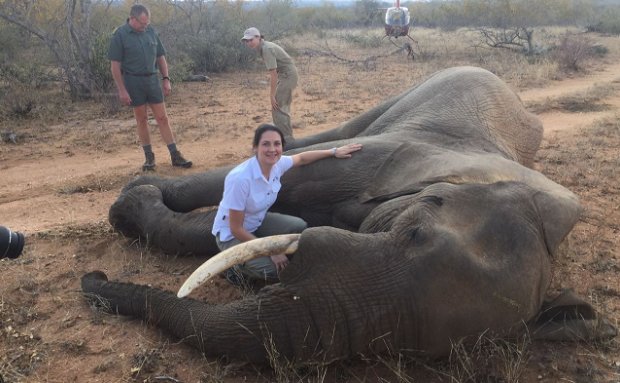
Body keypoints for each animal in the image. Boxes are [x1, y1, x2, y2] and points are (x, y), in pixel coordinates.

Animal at [82, 66, 616, 366]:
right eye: (413, 231)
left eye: (414, 350)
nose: (95, 279)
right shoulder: (387, 157)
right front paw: (128, 207)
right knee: (331, 136)